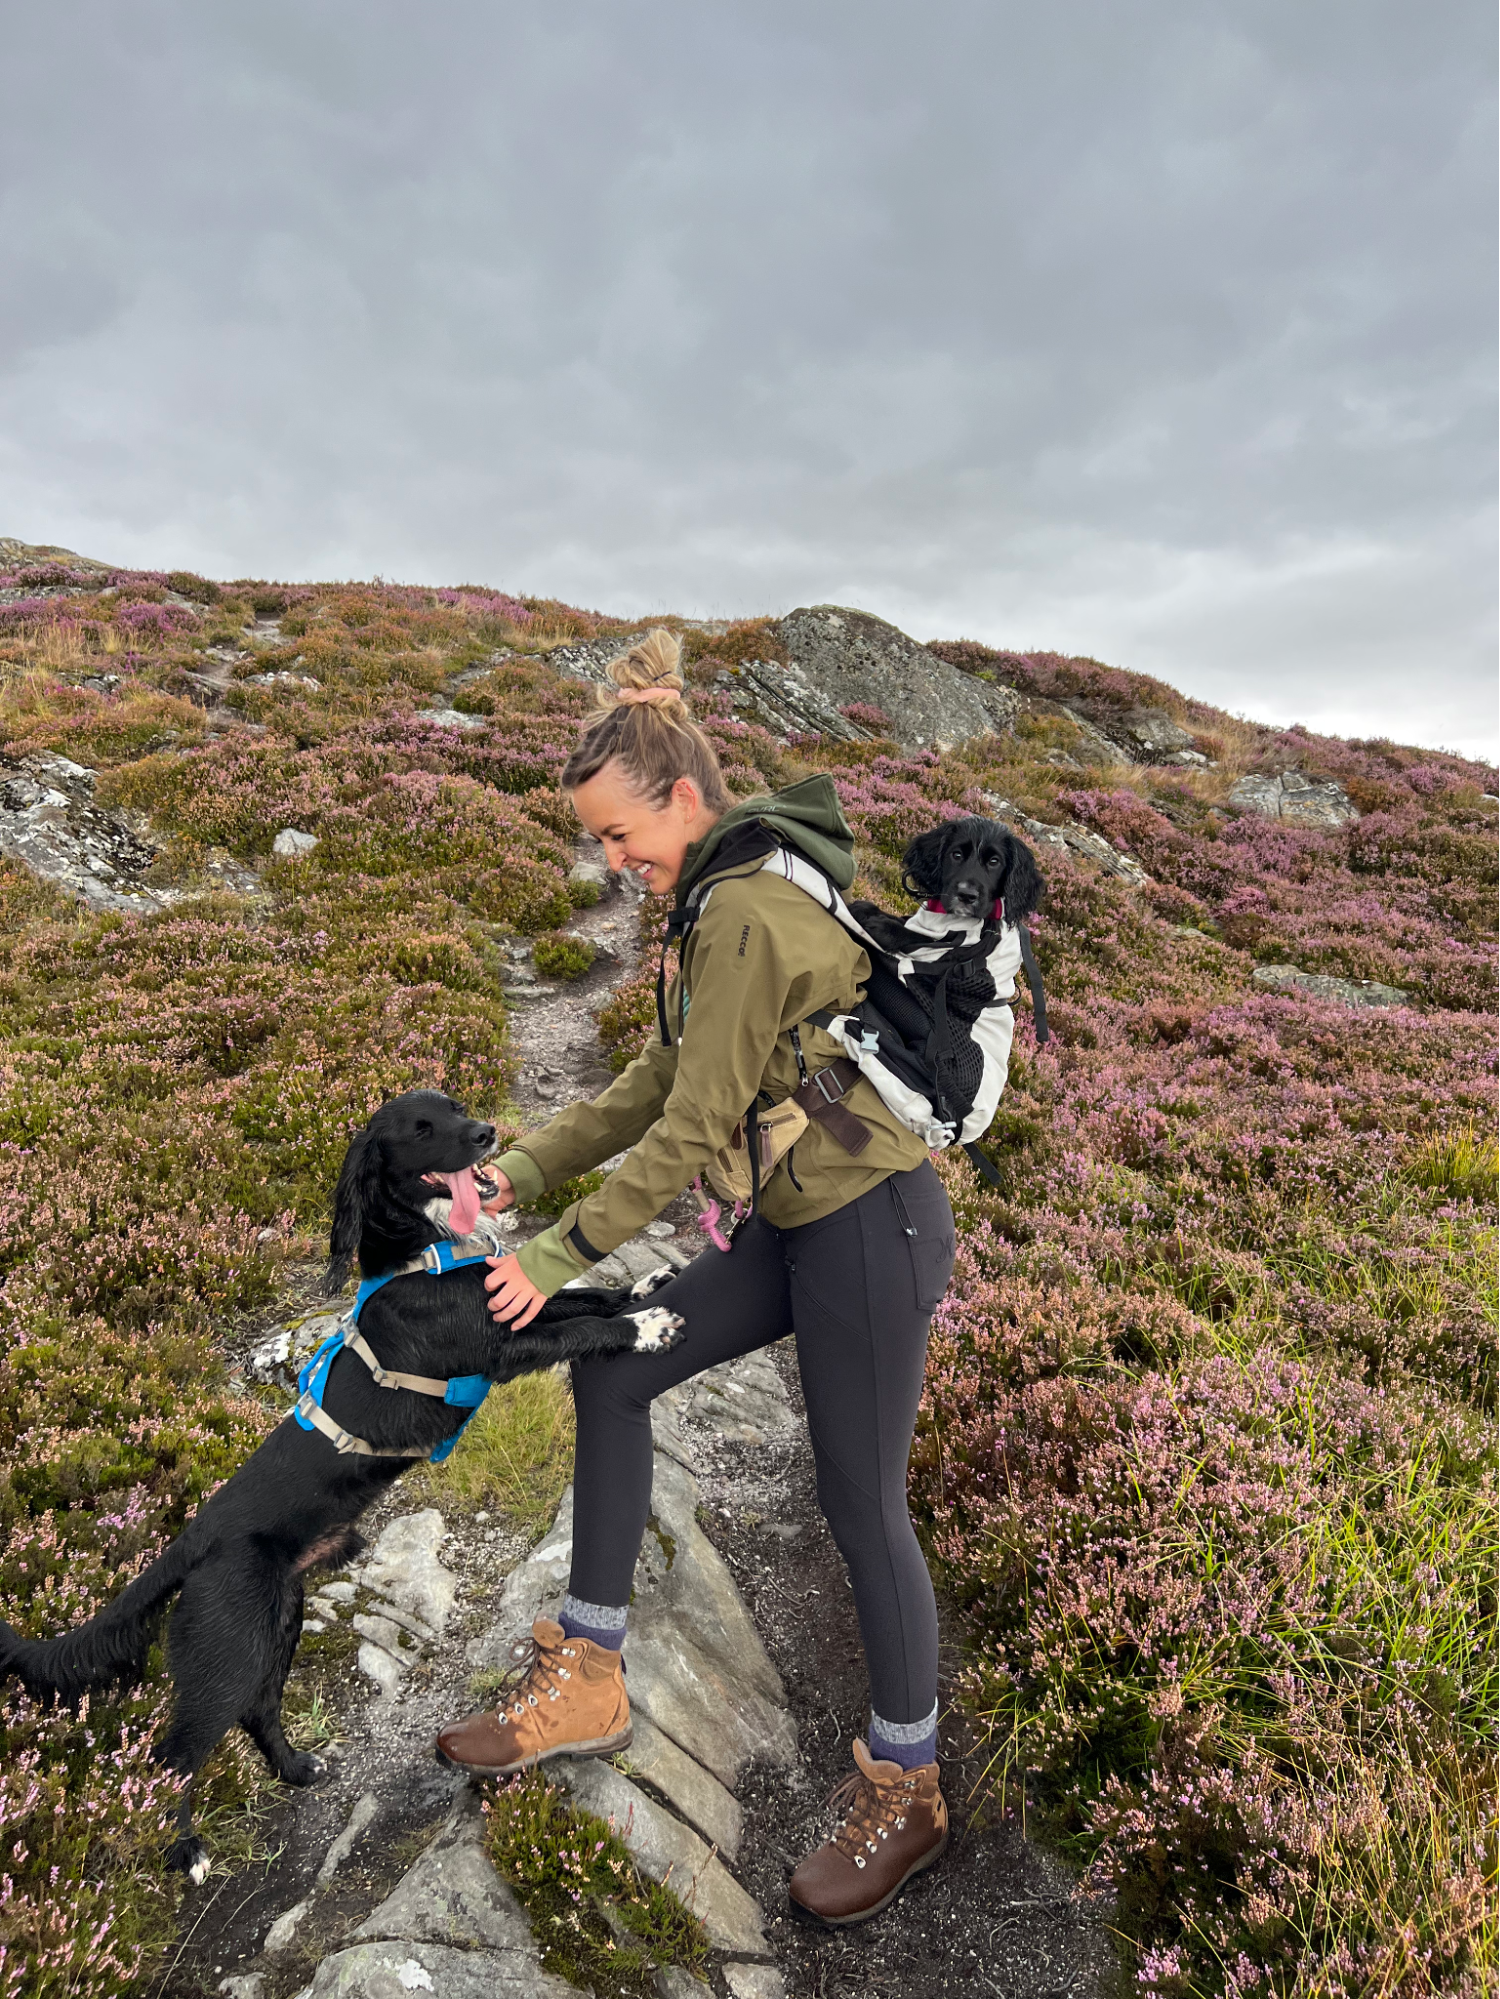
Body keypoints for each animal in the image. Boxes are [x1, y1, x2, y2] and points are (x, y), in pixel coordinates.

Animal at [0, 1087, 688, 1879]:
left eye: (453, 1104)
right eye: (421, 1129)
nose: (486, 1132)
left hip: (277, 1620)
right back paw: (184, 1850)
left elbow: (584, 1295)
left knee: (259, 1710)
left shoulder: (512, 1302)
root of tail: (190, 1540)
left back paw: (297, 1769)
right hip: (229, 1647)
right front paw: (650, 1324)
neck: (424, 1253)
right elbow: (583, 1326)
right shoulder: (502, 1345)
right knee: (173, 1754)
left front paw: (644, 1284)